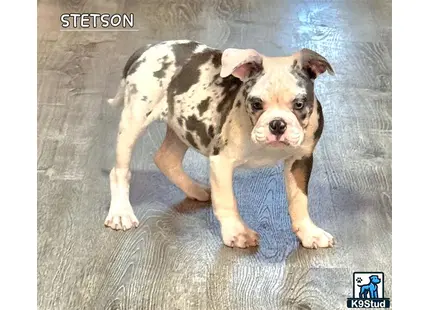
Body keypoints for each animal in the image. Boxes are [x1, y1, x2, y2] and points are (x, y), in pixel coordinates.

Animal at [104, 39, 336, 249]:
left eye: (299, 104)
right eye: (256, 104)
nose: (277, 124)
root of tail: (148, 48)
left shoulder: (301, 160)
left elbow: (299, 199)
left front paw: (309, 232)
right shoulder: (221, 162)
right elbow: (227, 200)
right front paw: (237, 232)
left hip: (183, 127)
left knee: (166, 159)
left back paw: (196, 190)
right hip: (134, 122)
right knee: (120, 171)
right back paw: (121, 213)